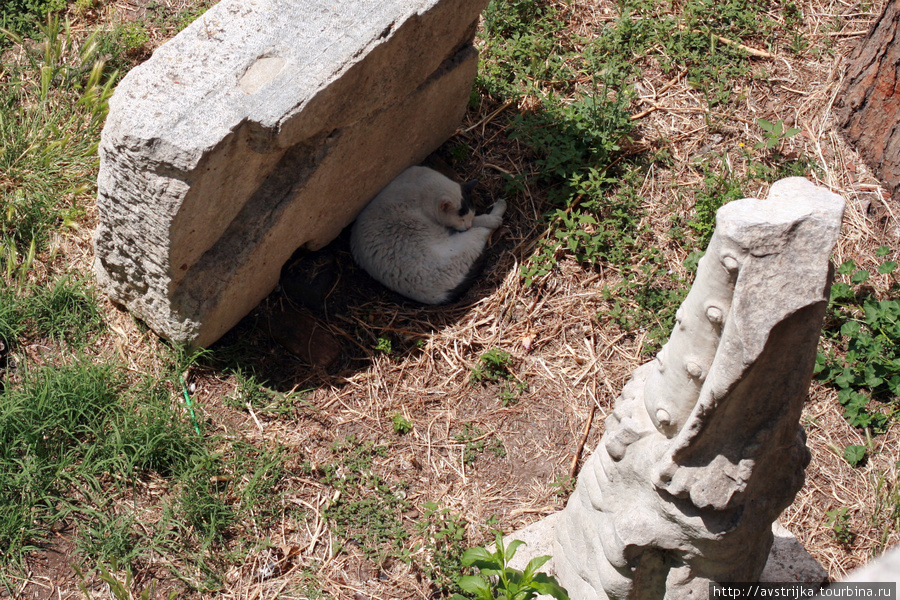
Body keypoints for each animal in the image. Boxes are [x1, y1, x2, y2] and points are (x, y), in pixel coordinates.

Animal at [350, 165, 506, 302]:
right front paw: (486, 218)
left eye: (471, 213)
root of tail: (434, 295)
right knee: (484, 231)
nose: (467, 225)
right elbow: (477, 222)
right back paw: (498, 211)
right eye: (461, 219)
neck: (422, 188)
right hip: (467, 242)